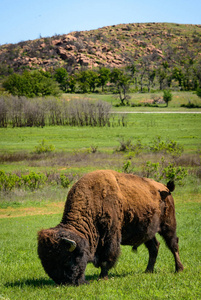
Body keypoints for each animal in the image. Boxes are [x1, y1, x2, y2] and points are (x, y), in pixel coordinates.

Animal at [37, 170, 184, 284]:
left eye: (67, 259)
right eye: (45, 262)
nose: (64, 282)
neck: (93, 200)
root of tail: (165, 188)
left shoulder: (110, 236)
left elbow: (107, 257)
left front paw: (102, 278)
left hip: (168, 225)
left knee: (173, 245)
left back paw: (179, 269)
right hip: (148, 231)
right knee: (154, 247)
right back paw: (148, 271)